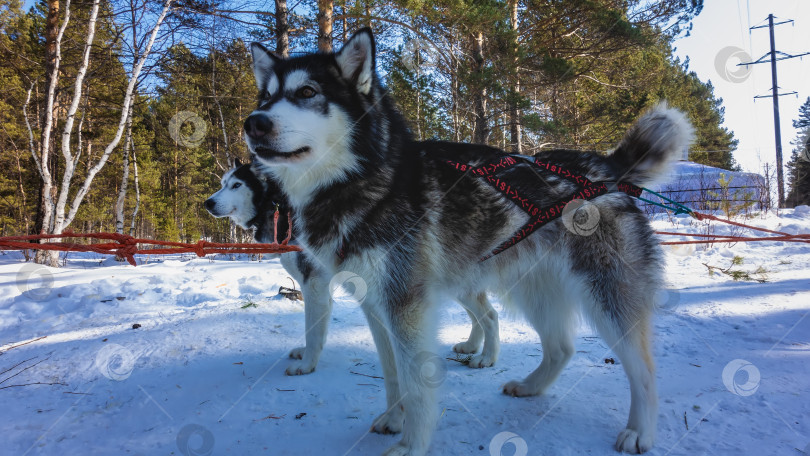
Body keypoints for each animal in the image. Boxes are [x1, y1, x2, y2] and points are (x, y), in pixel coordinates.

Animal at [245, 29, 688, 456]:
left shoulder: (405, 307)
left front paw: (411, 445)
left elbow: (416, 385)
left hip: (606, 296)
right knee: (561, 347)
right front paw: (394, 419)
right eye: (266, 97)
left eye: (307, 92)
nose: (254, 123)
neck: (366, 181)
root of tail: (605, 166)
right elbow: (393, 375)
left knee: (643, 369)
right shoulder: (375, 306)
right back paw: (531, 386)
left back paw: (639, 432)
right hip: (533, 291)